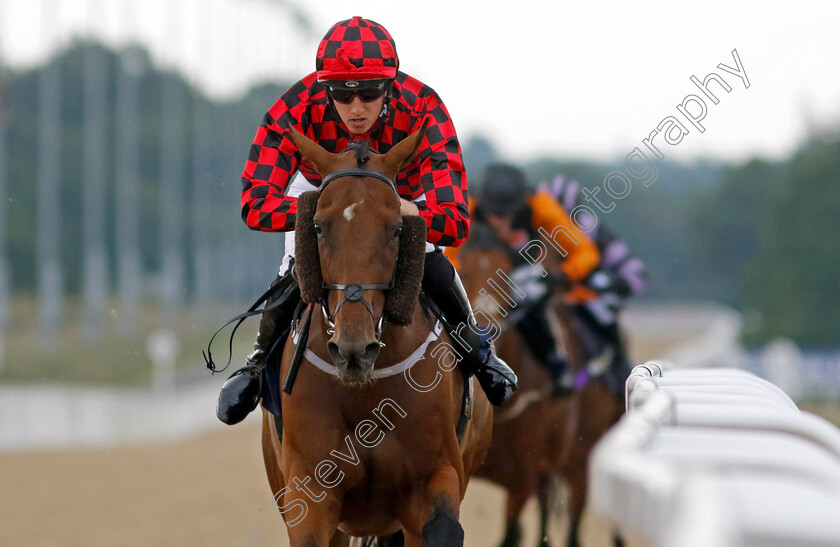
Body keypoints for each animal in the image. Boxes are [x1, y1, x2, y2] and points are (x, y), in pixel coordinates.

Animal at [260, 125, 492, 547]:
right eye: (317, 227)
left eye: (397, 228)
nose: (354, 350)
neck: (365, 391)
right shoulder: (309, 490)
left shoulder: (433, 478)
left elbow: (443, 526)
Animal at [456, 225, 628, 544]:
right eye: (464, 270)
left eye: (510, 276)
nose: (486, 328)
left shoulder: (524, 475)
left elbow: (511, 535)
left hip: (577, 458)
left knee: (572, 525)